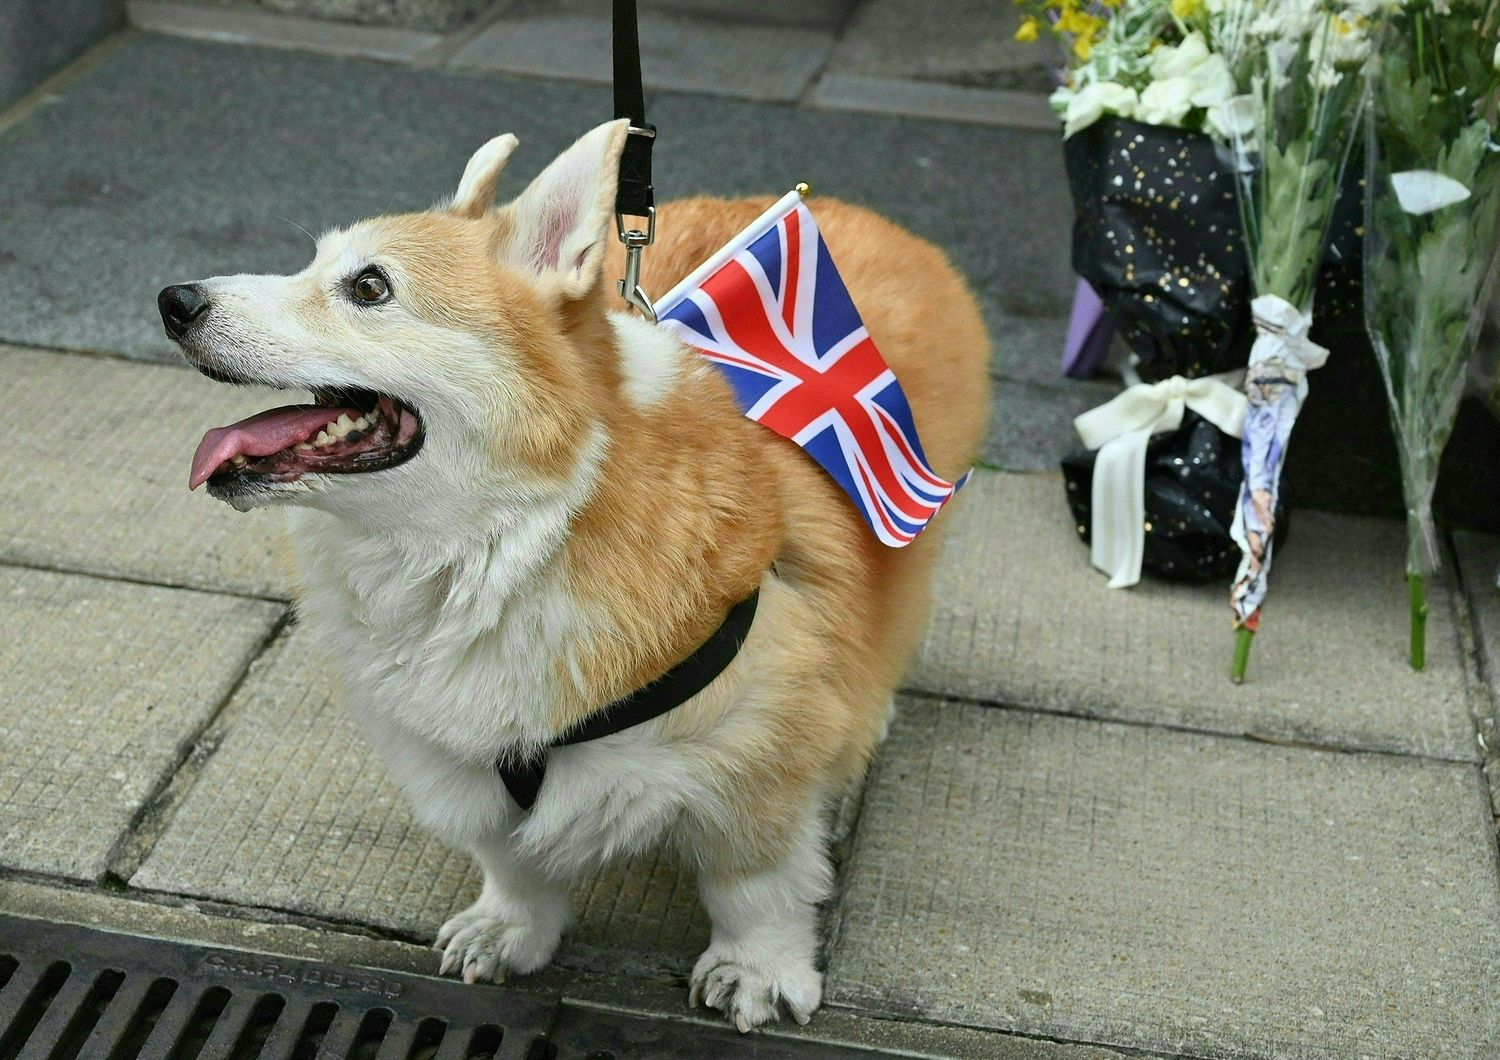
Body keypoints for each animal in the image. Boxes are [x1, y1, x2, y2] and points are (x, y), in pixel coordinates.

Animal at [161, 119, 984, 1031]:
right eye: (314, 266)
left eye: (370, 287)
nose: (174, 302)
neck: (509, 540)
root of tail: (865, 215)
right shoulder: (460, 757)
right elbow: (513, 860)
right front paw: (509, 930)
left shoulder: (759, 760)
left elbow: (754, 886)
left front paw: (758, 972)